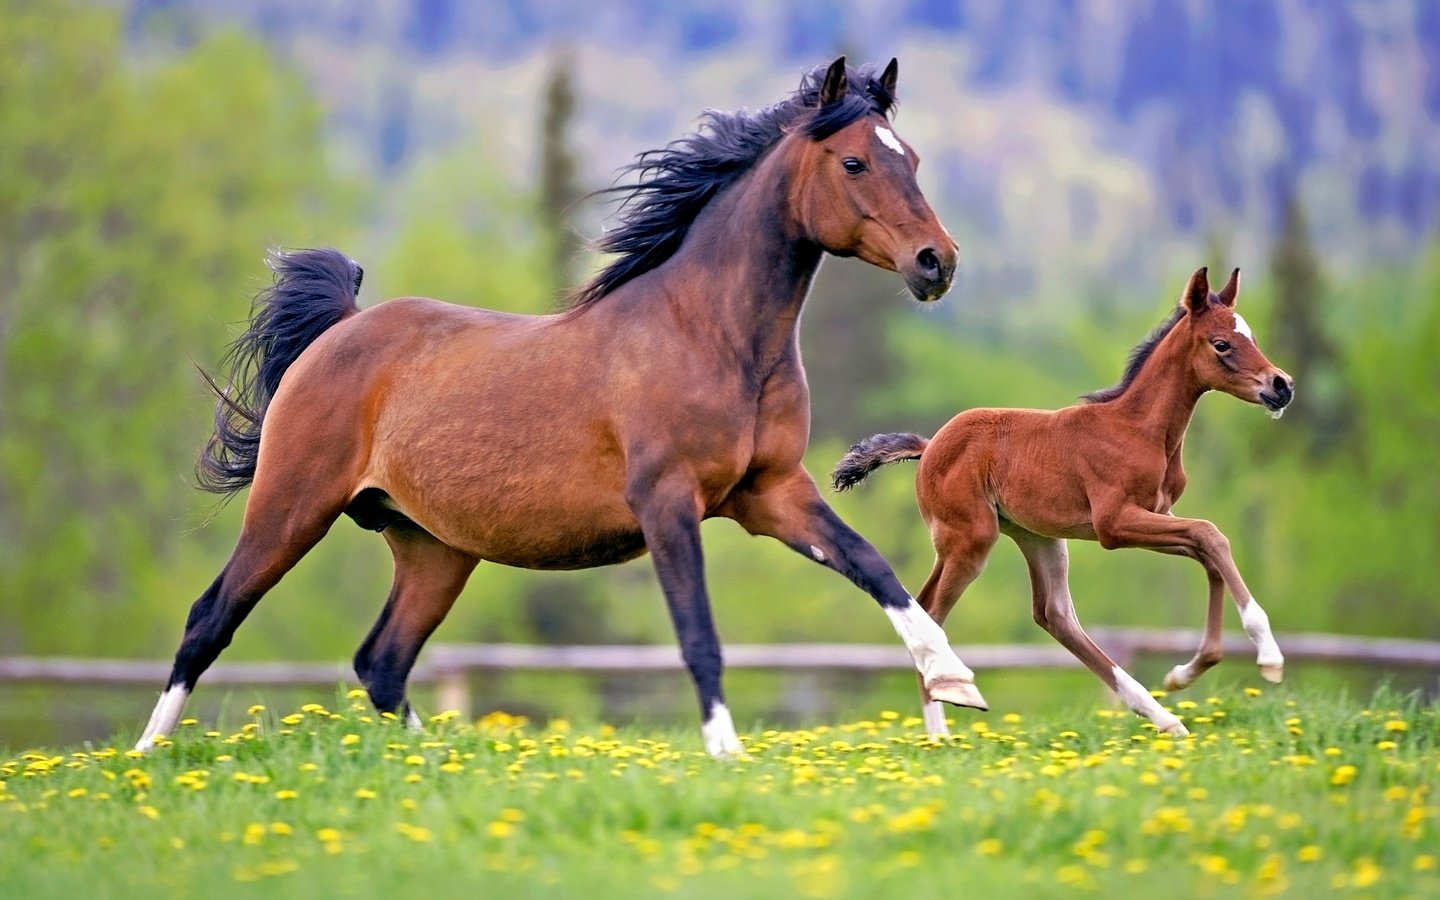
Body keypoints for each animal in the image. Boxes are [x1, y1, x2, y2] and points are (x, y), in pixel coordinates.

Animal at [137, 57, 990, 760]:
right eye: (853, 160)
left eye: (910, 158)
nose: (937, 263)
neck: (710, 335)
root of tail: (339, 330)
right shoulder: (668, 501)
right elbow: (698, 631)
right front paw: (727, 753)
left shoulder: (771, 493)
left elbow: (874, 567)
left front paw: (955, 681)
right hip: (293, 505)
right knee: (210, 619)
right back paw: (146, 755)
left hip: (433, 548)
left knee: (382, 661)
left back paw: (442, 759)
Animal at [835, 267, 1296, 737]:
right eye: (1221, 343)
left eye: (1252, 336)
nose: (1281, 385)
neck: (1139, 430)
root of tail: (928, 447)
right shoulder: (1115, 524)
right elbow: (1211, 534)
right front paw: (1269, 656)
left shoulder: (1155, 515)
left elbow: (1207, 551)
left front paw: (1185, 673)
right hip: (970, 539)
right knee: (931, 610)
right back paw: (942, 728)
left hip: (1038, 537)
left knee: (1053, 614)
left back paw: (1163, 717)